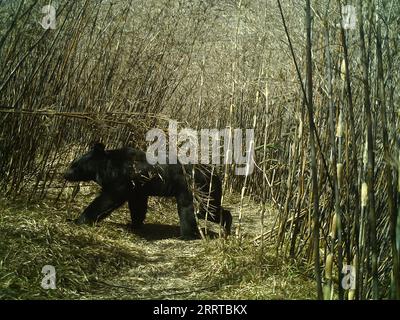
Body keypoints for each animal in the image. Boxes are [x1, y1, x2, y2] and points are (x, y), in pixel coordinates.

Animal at [64, 143, 233, 240]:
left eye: (74, 164)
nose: (64, 174)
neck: (106, 167)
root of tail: (216, 175)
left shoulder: (122, 179)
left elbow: (108, 199)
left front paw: (78, 220)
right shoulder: (137, 188)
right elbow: (137, 205)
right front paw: (134, 224)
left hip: (196, 189)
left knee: (197, 211)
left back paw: (187, 235)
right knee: (210, 210)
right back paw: (226, 229)